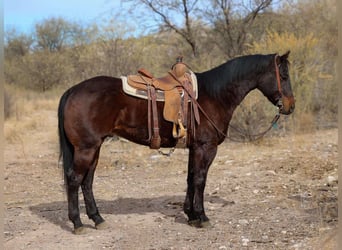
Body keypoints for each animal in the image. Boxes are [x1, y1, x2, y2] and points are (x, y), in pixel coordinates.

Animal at [58, 51, 294, 233]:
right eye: (283, 75)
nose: (290, 106)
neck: (215, 95)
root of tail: (73, 90)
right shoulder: (206, 148)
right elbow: (200, 180)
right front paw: (202, 217)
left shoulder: (194, 148)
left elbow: (190, 178)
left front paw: (190, 215)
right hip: (86, 149)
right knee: (74, 180)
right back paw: (77, 223)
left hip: (95, 148)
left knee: (87, 182)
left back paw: (97, 219)